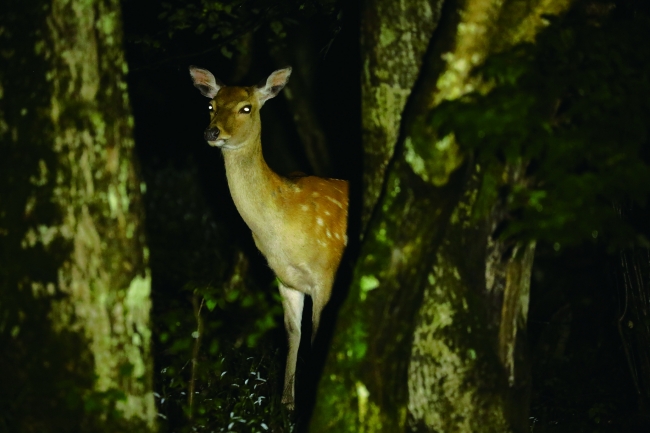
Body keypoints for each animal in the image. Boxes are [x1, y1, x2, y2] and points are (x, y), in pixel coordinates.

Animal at [189, 65, 350, 408]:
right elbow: (293, 333)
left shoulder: (326, 271)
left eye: (246, 108)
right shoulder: (286, 279)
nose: (212, 133)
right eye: (210, 105)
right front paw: (287, 405)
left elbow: (317, 332)